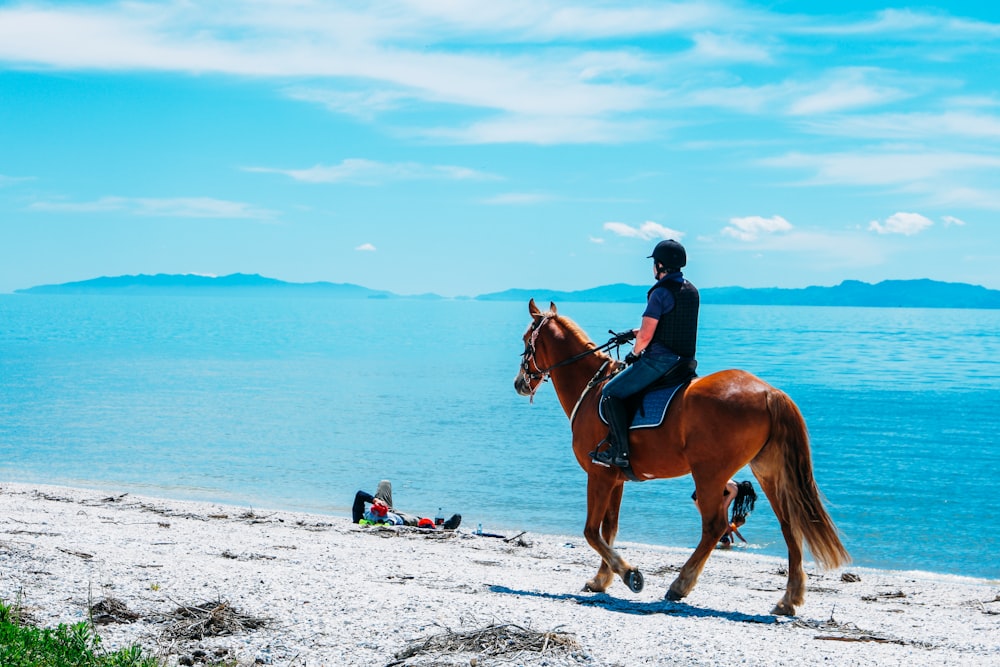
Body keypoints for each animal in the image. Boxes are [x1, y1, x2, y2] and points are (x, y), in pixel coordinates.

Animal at [516, 298, 852, 616]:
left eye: (525, 339)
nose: (520, 383)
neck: (593, 390)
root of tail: (769, 392)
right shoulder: (615, 478)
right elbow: (609, 529)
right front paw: (602, 579)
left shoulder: (599, 474)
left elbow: (590, 531)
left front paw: (629, 574)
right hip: (767, 472)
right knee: (788, 525)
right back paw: (789, 598)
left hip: (709, 473)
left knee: (715, 526)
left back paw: (681, 584)